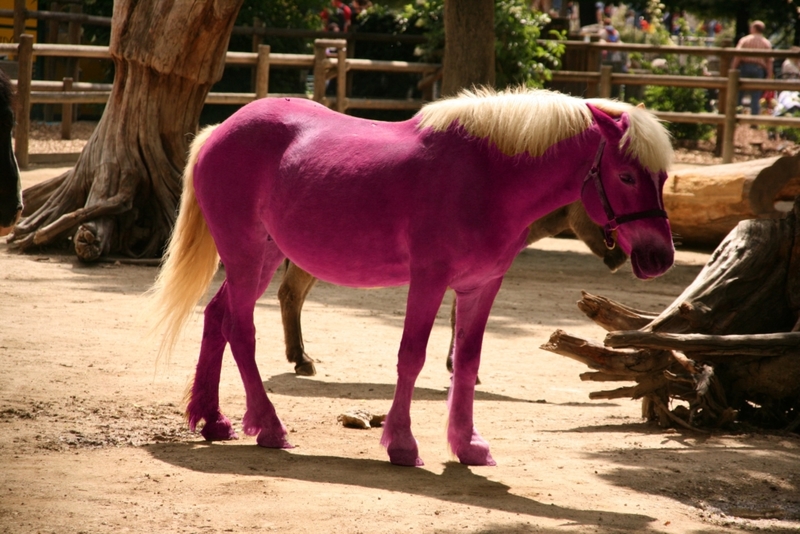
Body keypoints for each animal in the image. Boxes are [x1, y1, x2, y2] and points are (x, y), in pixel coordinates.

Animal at [150, 89, 676, 468]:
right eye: (626, 176)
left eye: (664, 177)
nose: (659, 257)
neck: (488, 175)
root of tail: (220, 129)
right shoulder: (428, 280)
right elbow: (412, 356)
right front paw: (402, 444)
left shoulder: (480, 286)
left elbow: (466, 360)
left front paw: (468, 445)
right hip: (244, 255)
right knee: (240, 329)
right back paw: (269, 426)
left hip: (262, 256)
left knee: (218, 317)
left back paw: (212, 419)